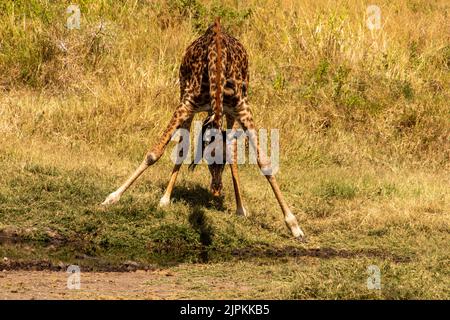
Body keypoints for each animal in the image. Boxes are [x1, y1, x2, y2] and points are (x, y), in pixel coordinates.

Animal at [102, 16, 306, 238]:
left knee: (231, 146)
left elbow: (263, 162)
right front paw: (113, 196)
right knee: (182, 148)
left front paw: (293, 225)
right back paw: (165, 198)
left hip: (229, 112)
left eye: (222, 162)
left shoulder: (242, 108)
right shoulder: (186, 104)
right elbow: (155, 153)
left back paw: (240, 208)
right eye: (208, 158)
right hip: (185, 96)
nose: (216, 189)